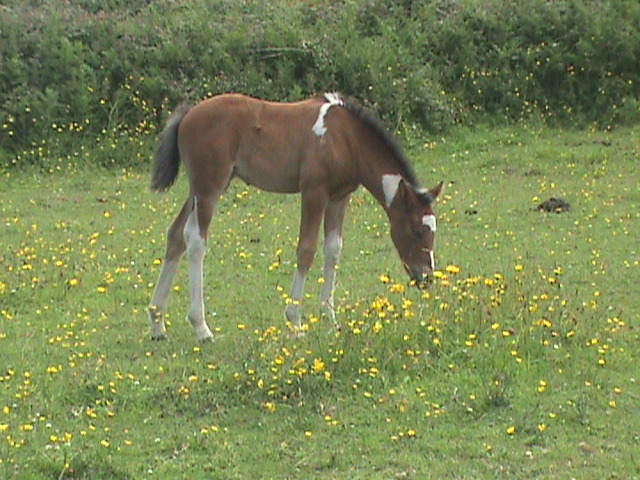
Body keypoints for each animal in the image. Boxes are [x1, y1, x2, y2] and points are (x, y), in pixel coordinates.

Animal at [148, 93, 442, 342]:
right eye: (417, 230)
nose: (426, 277)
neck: (345, 138)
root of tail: (188, 114)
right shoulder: (314, 192)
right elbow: (307, 250)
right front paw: (296, 321)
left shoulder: (339, 197)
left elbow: (333, 249)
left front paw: (329, 317)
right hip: (210, 187)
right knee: (196, 240)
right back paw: (201, 327)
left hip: (199, 190)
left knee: (176, 235)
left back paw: (158, 323)